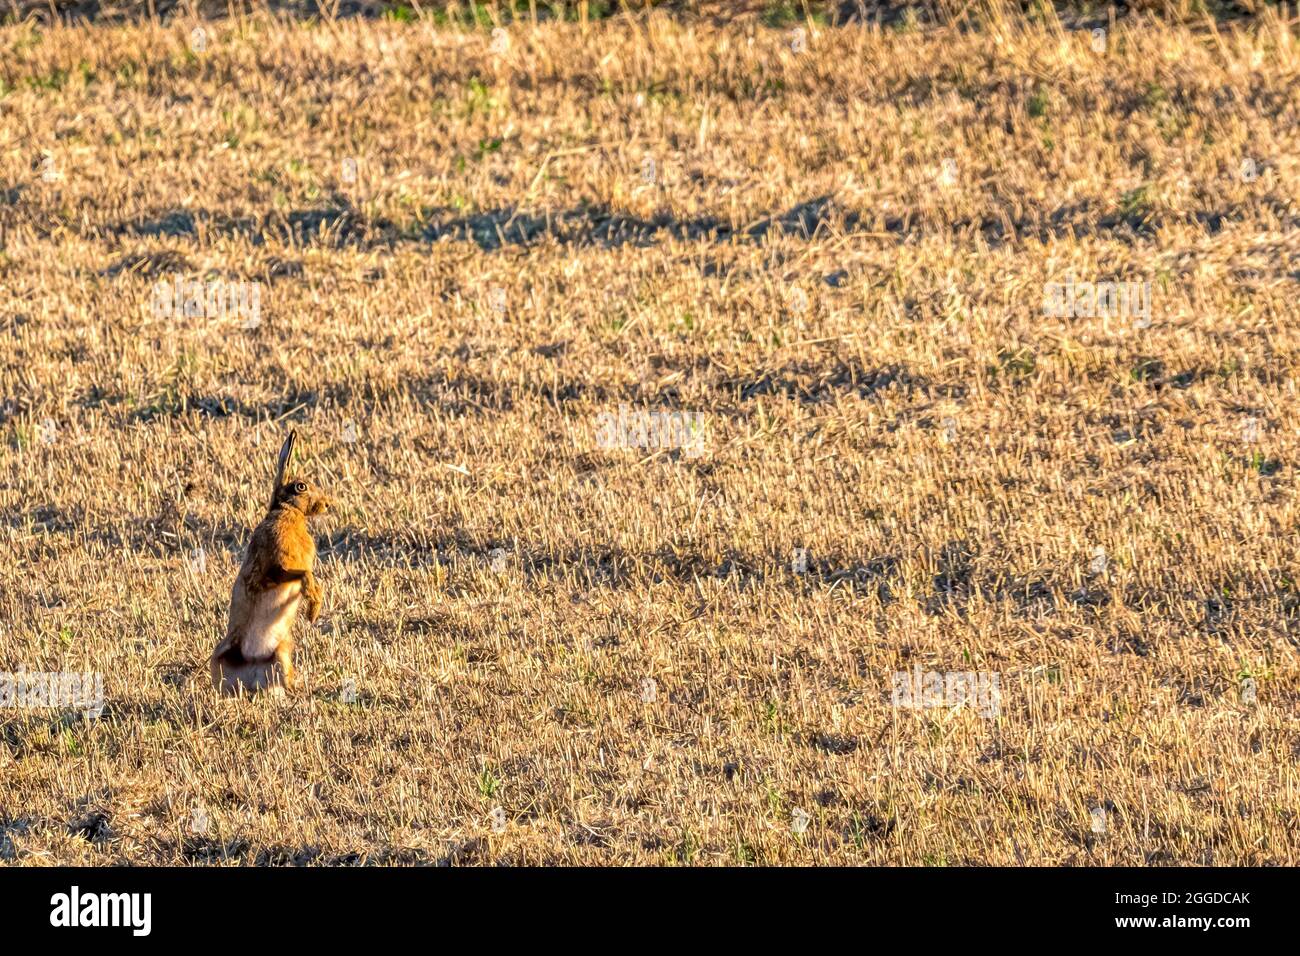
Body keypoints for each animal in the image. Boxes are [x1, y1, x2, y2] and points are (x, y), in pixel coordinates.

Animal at [210, 430, 330, 695]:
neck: (287, 512)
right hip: (222, 655)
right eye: (300, 487)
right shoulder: (274, 569)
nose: (326, 504)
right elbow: (304, 574)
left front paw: (313, 610)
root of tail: (252, 669)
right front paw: (313, 610)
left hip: (281, 655)